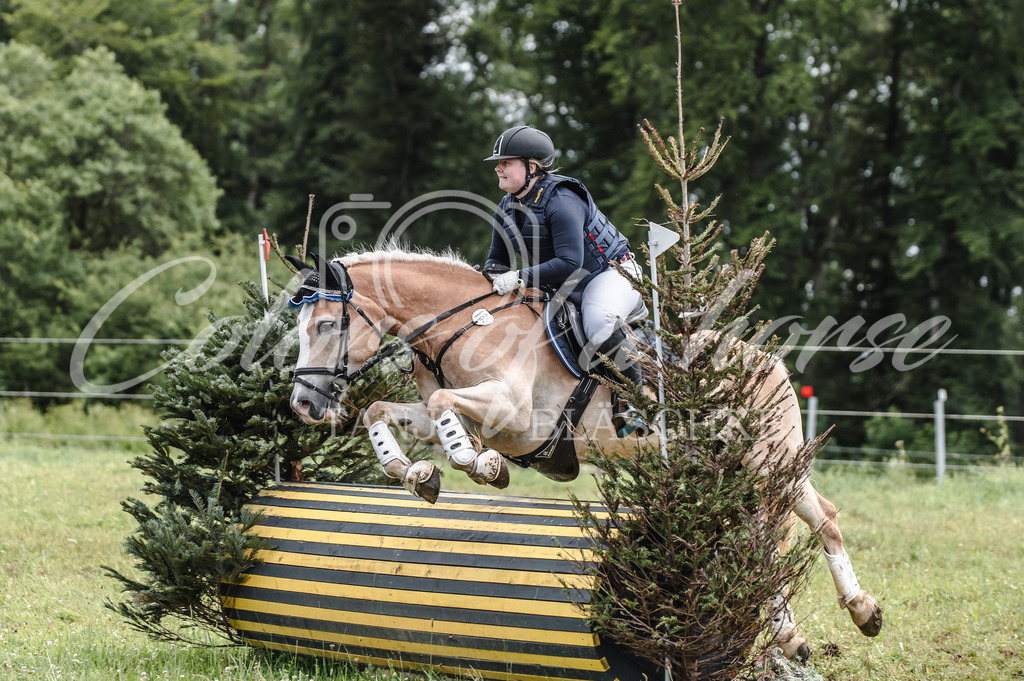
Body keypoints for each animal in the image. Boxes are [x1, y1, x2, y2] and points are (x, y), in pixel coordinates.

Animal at [286, 246, 880, 655]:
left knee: (792, 530)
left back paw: (839, 616)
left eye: (326, 324)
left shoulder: (518, 417)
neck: (458, 326)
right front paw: (415, 474)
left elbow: (448, 409)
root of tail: (767, 359)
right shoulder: (452, 413)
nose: (303, 405)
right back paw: (823, 625)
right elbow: (380, 411)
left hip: (767, 461)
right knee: (789, 529)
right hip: (737, 469)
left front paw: (480, 464)